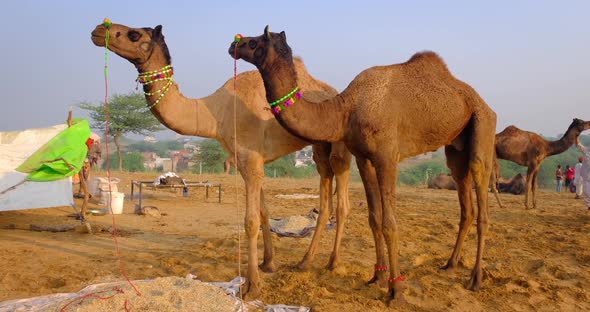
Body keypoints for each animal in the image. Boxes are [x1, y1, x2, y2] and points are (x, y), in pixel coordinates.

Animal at [90, 22, 354, 300]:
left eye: (134, 34)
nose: (98, 30)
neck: (216, 113)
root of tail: (332, 92)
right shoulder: (246, 161)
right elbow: (264, 213)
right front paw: (268, 264)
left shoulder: (251, 158)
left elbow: (250, 221)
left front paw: (252, 287)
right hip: (318, 145)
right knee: (325, 189)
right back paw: (304, 262)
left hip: (340, 144)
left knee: (341, 196)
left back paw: (334, 264)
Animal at [231, 25, 500, 304]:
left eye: (254, 42)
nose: (233, 45)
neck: (346, 110)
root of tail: (480, 101)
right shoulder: (363, 158)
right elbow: (374, 218)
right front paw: (377, 277)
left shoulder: (387, 157)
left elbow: (390, 223)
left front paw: (396, 291)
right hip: (456, 146)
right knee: (464, 198)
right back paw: (450, 264)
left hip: (483, 125)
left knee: (481, 197)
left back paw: (475, 279)